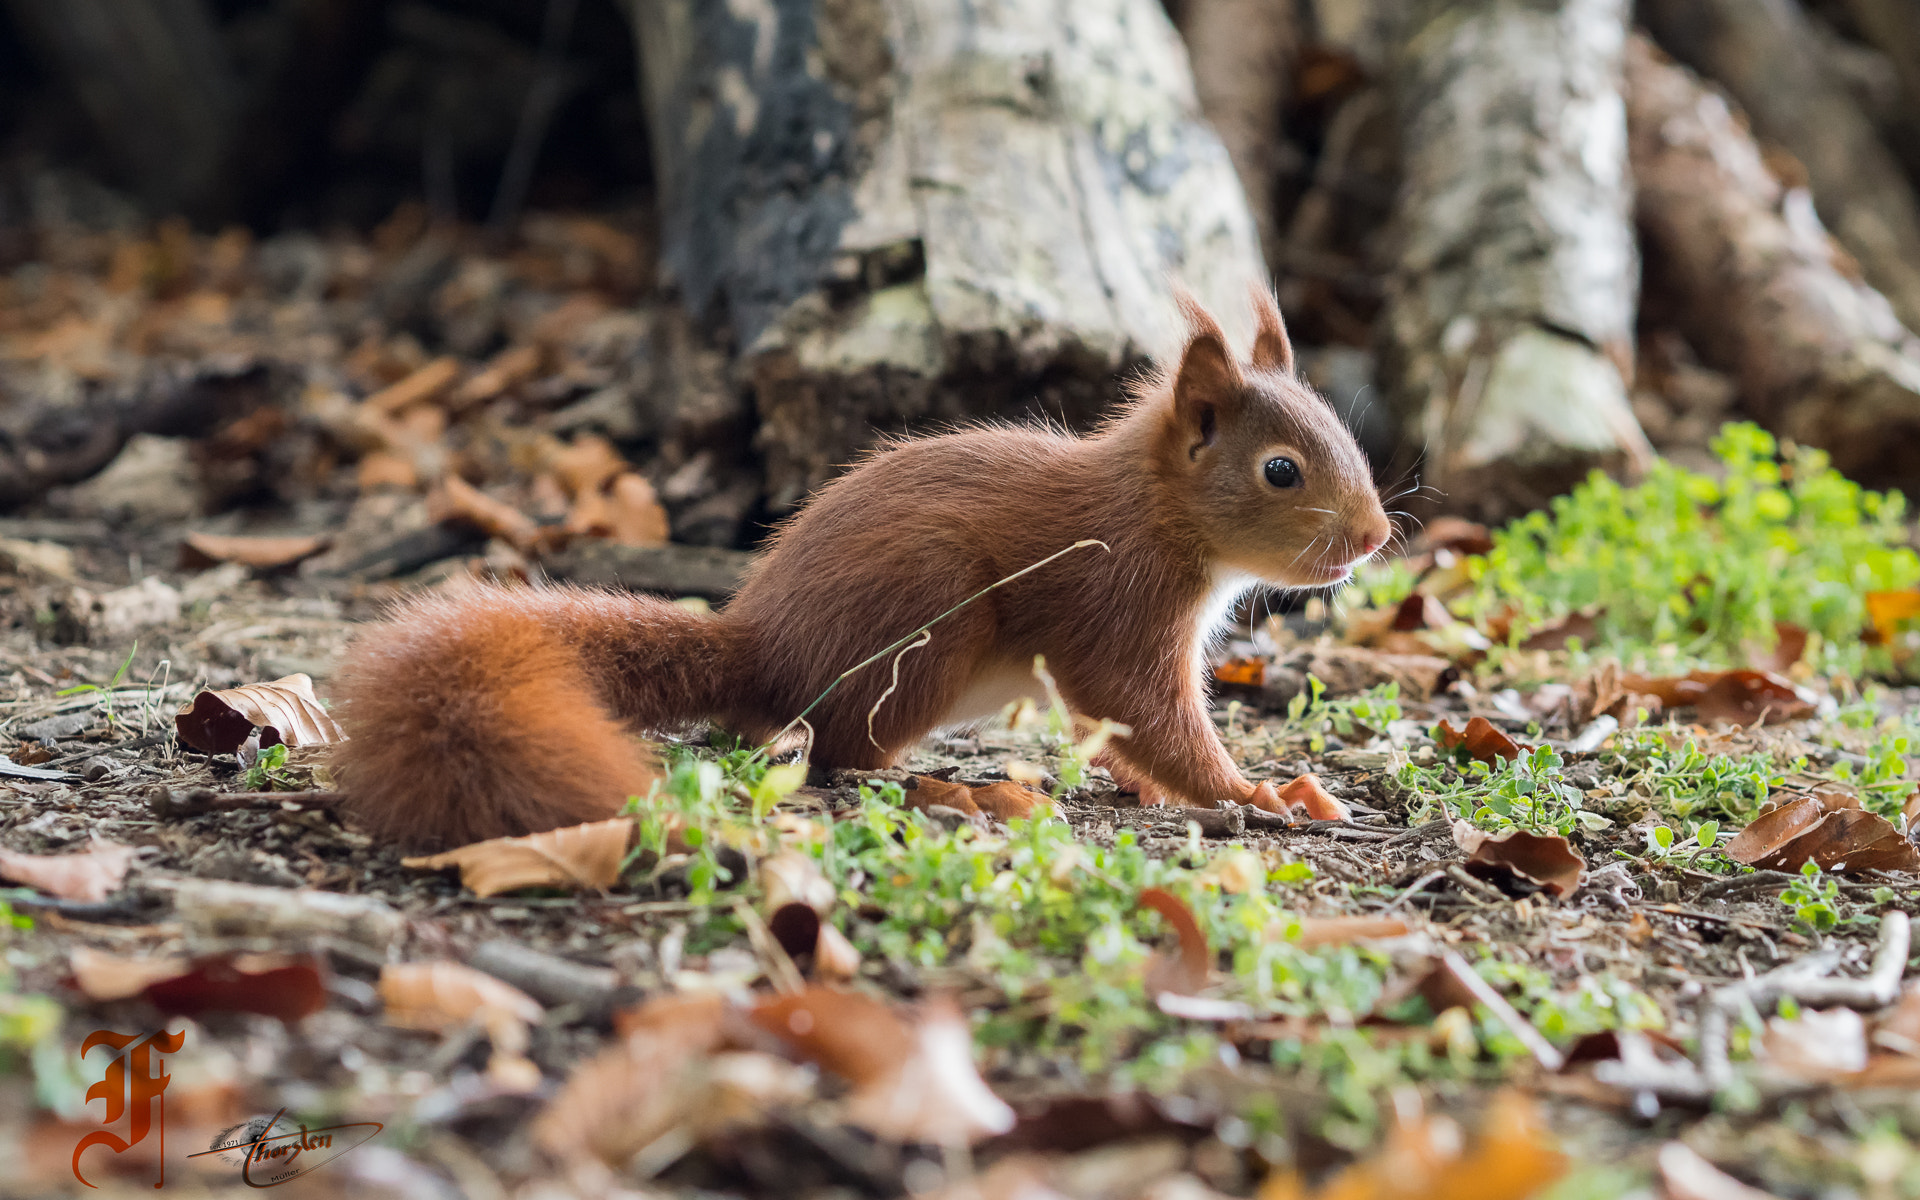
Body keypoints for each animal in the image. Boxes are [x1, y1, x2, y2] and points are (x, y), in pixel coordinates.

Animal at [333, 288, 1392, 849]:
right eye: (1281, 470)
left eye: (1344, 437)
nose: (1376, 535)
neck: (1158, 510)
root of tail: (758, 645)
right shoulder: (1117, 601)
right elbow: (1148, 716)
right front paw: (1258, 794)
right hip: (932, 615)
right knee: (842, 749)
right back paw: (960, 789)